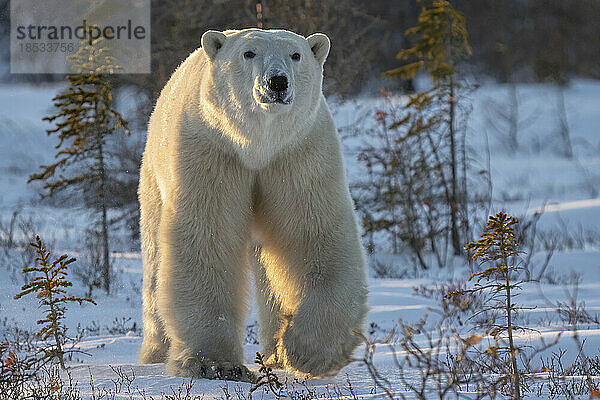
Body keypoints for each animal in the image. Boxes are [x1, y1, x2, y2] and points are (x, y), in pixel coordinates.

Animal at [138, 28, 368, 382]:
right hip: (154, 176)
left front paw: (308, 352)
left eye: (295, 54)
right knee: (154, 263)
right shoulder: (213, 152)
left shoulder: (297, 154)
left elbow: (313, 236)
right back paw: (155, 354)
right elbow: (207, 238)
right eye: (249, 53)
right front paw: (214, 364)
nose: (277, 82)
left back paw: (275, 355)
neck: (257, 145)